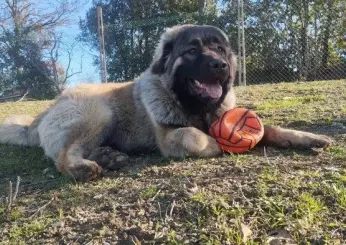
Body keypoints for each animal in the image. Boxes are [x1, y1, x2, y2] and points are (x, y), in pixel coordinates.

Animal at [0, 24, 332, 181]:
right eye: (193, 50)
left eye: (220, 49)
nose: (220, 66)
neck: (196, 108)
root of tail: (45, 112)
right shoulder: (169, 137)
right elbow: (193, 136)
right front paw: (214, 143)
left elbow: (272, 130)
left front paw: (307, 137)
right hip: (99, 112)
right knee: (64, 154)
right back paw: (82, 167)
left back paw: (109, 156)